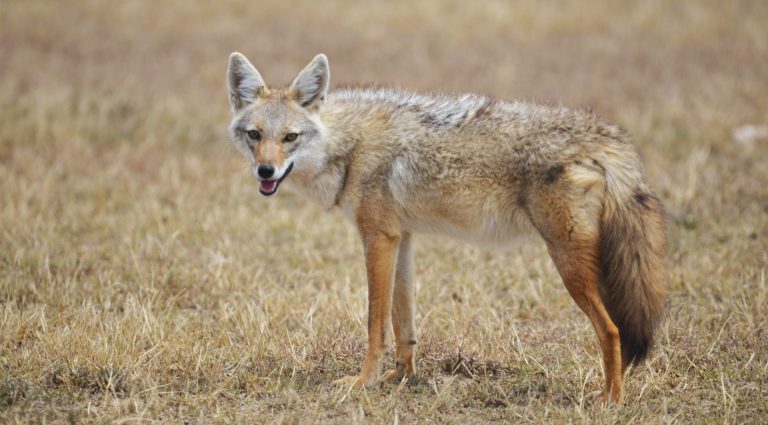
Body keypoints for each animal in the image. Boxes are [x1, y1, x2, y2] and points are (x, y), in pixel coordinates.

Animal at [225, 52, 667, 404]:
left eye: (290, 137)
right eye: (255, 135)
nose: (265, 171)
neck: (349, 146)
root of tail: (608, 139)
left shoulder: (377, 238)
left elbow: (374, 326)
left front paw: (363, 382)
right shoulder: (400, 238)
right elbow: (403, 322)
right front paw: (400, 376)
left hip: (570, 266)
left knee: (612, 331)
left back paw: (610, 400)